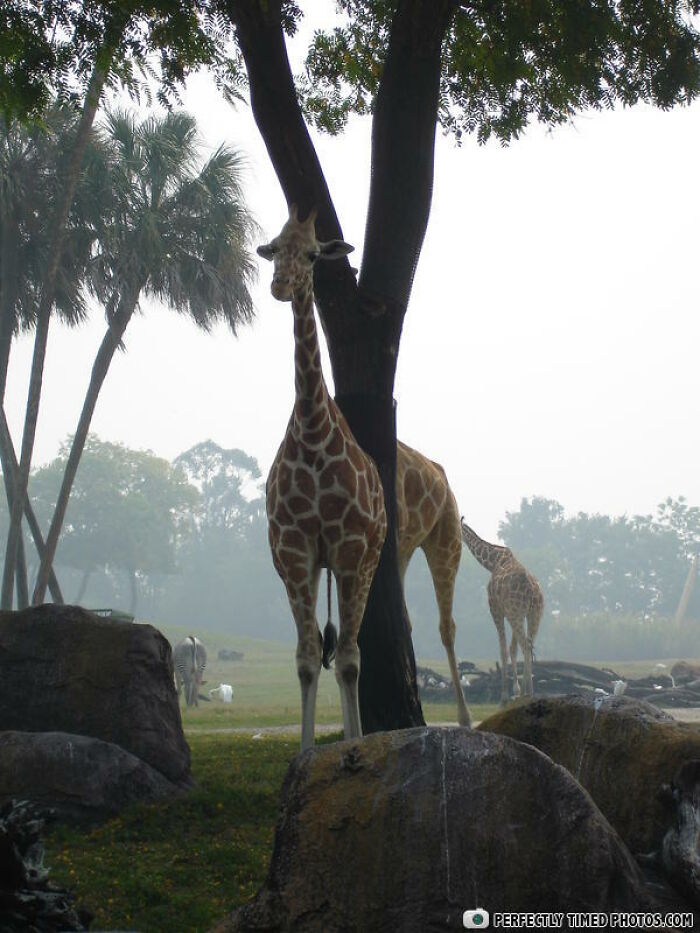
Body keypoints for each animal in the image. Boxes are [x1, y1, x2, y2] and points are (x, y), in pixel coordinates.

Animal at [461, 521, 544, 703]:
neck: (493, 562)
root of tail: (531, 590)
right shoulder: (511, 613)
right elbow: (512, 649)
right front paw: (515, 691)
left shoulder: (496, 609)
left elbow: (503, 650)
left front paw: (505, 696)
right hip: (534, 614)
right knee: (528, 644)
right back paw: (529, 692)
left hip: (517, 613)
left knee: (525, 645)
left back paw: (527, 692)